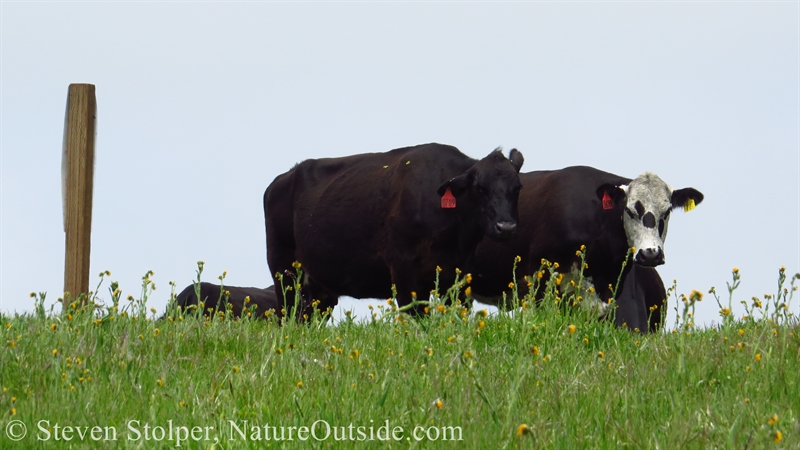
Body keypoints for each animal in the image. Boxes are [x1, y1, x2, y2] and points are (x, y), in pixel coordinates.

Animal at [264, 142, 524, 318]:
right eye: (480, 188)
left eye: (517, 187)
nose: (506, 227)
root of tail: (283, 178)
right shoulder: (403, 270)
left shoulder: (458, 276)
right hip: (284, 274)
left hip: (319, 290)